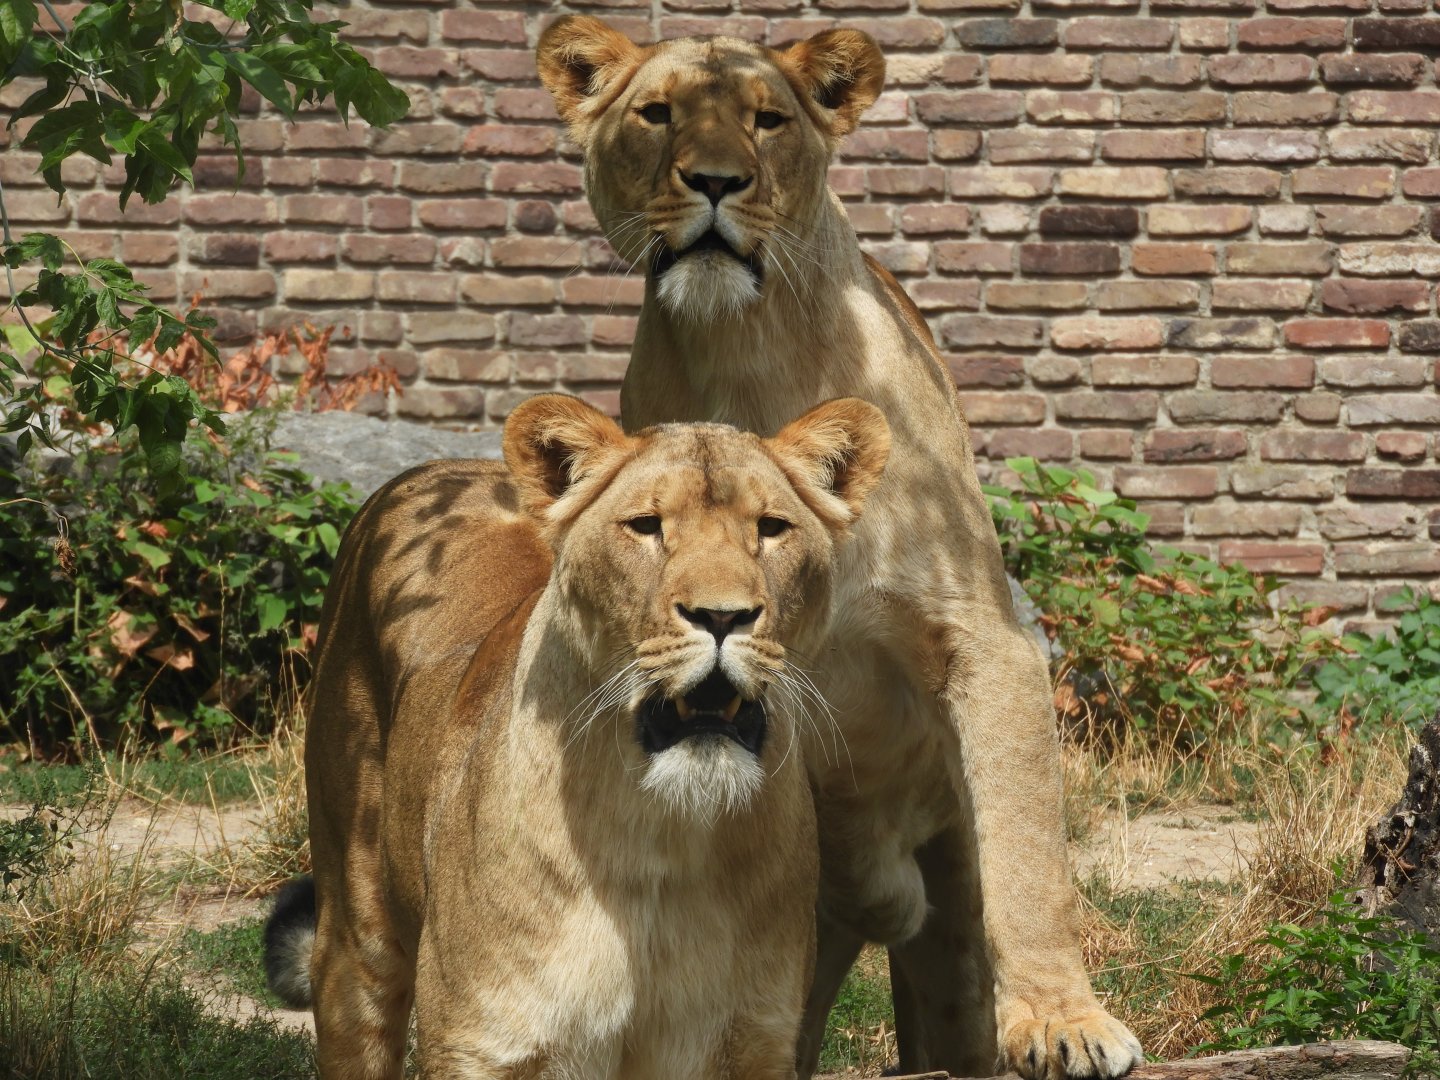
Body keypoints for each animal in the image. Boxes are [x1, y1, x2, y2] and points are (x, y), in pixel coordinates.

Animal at [263, 393, 891, 1079]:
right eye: (646, 526)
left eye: (773, 527)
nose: (722, 616)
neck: (663, 838)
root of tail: (434, 467)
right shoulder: (480, 1042)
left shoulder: (759, 1043)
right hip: (355, 939)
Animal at [536, 18, 1146, 1080]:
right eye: (656, 113)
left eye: (767, 120)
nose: (715, 181)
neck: (743, 349)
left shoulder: (984, 638)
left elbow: (1029, 851)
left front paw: (1063, 1022)